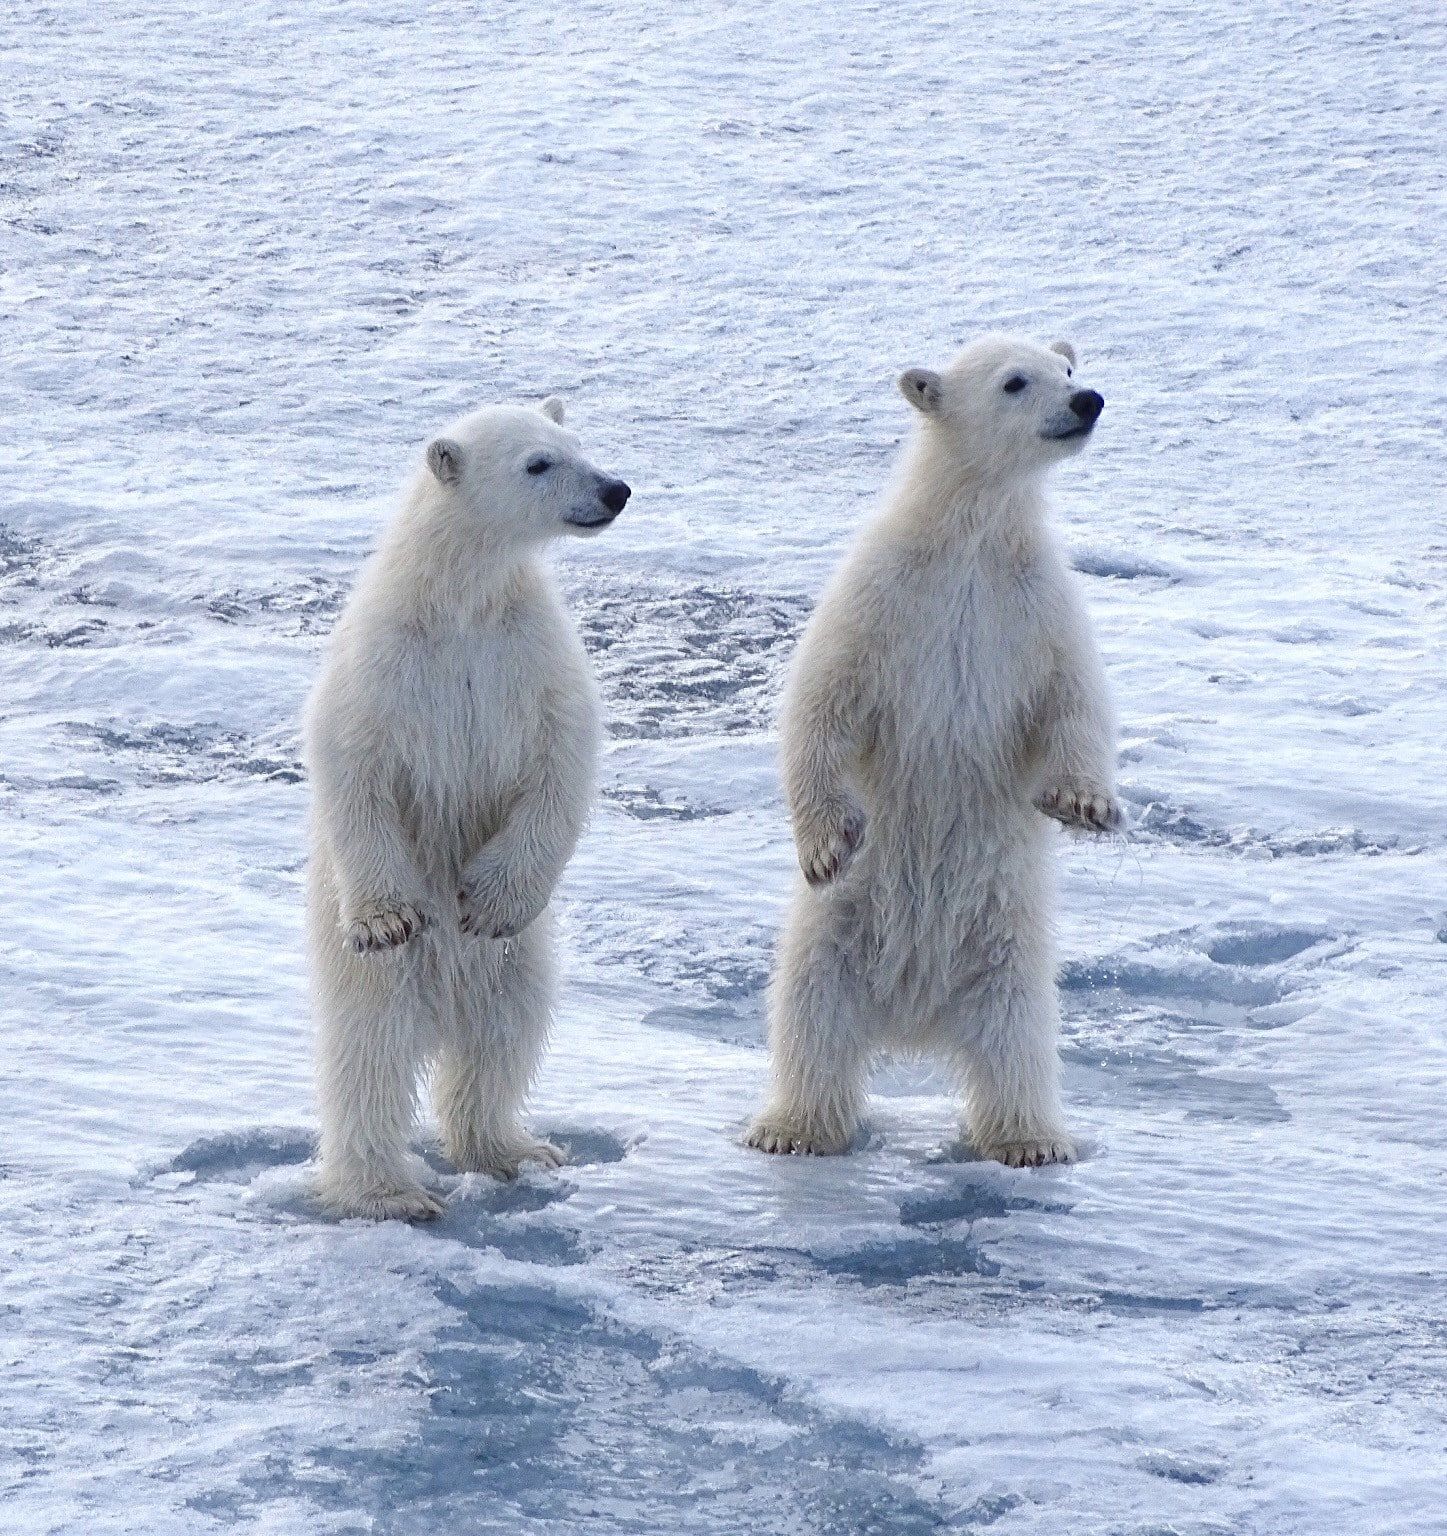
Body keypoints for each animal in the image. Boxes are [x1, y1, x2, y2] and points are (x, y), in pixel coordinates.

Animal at [305, 399, 629, 1222]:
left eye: (578, 443)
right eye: (538, 463)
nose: (615, 490)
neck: (460, 600)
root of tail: (442, 1001)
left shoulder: (529, 649)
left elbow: (563, 755)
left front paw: (487, 899)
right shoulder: (384, 660)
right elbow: (350, 760)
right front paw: (385, 917)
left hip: (523, 958)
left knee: (505, 1035)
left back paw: (516, 1149)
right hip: (372, 972)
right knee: (371, 1056)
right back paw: (387, 1191)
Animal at [746, 336, 1124, 1167]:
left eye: (1068, 371)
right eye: (1015, 382)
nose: (1087, 402)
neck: (969, 542)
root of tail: (914, 1017)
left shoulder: (1035, 604)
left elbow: (1073, 700)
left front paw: (1084, 803)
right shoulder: (883, 594)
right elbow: (820, 699)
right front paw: (827, 843)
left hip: (1007, 952)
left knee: (1017, 1042)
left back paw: (1030, 1140)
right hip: (832, 939)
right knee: (808, 1019)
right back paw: (793, 1129)